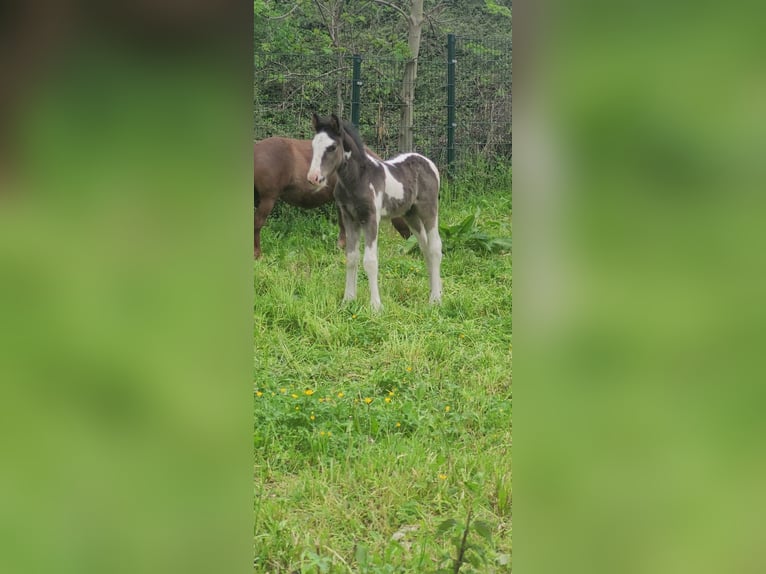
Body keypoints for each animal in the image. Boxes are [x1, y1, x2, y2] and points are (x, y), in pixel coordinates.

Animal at [308, 115, 444, 312]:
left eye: (332, 147)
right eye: (313, 145)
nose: (313, 178)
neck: (357, 180)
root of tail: (428, 162)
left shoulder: (371, 218)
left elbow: (370, 261)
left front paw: (376, 306)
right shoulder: (349, 219)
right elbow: (351, 258)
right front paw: (348, 300)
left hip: (429, 210)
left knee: (435, 248)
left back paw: (435, 299)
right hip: (410, 214)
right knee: (425, 248)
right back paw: (436, 291)